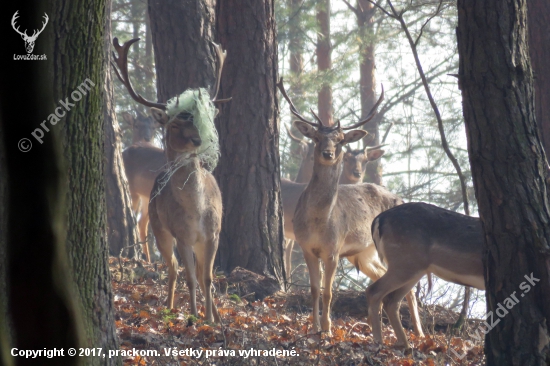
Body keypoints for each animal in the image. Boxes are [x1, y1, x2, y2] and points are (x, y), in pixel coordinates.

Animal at [276, 79, 426, 338]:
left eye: (341, 140)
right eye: (317, 137)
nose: (328, 153)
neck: (319, 221)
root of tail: (401, 199)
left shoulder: (334, 249)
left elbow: (328, 292)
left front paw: (327, 329)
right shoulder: (306, 247)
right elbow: (314, 289)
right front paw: (314, 327)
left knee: (405, 287)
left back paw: (418, 332)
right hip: (363, 253)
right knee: (380, 280)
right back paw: (378, 325)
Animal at [368, 203, 486, 348]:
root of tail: (378, 220)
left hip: (413, 269)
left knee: (392, 300)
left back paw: (405, 345)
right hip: (404, 262)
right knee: (374, 291)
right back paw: (379, 342)